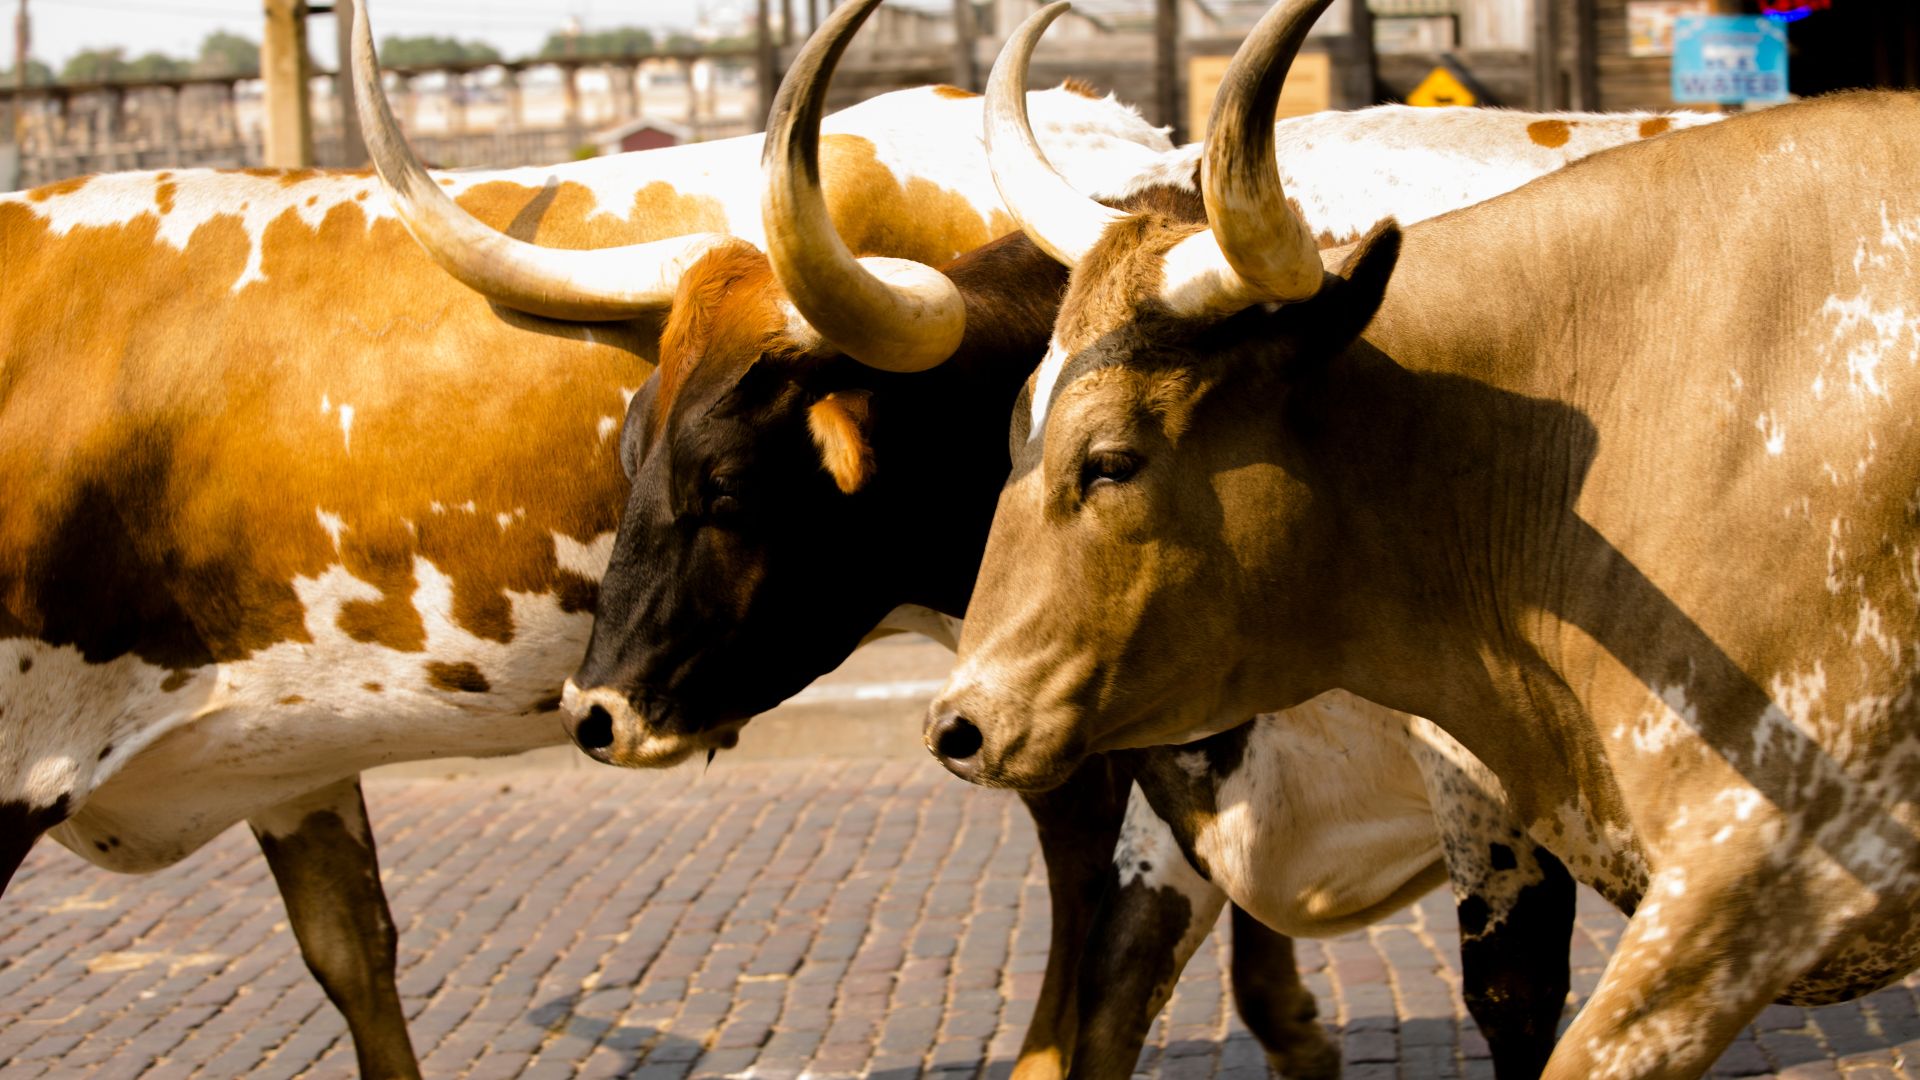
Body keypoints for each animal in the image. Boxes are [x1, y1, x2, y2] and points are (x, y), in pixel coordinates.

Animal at [550, 1, 1718, 1075]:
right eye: (632, 451)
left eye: (726, 482)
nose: (592, 713)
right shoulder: (1178, 787)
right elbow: (1109, 989)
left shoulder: (1498, 798)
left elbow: (1513, 997)